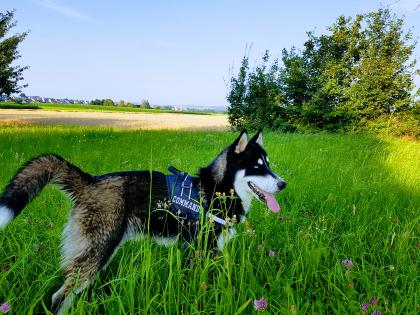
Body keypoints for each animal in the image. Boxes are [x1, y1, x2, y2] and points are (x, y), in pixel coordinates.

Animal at [0, 130, 286, 314]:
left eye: (268, 164)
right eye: (257, 167)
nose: (283, 184)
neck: (216, 189)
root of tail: (90, 182)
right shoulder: (200, 251)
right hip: (98, 251)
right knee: (59, 297)